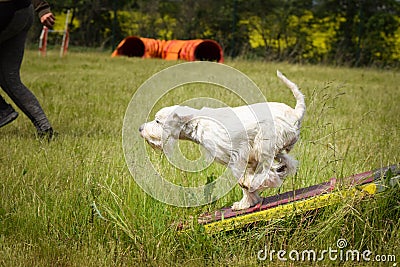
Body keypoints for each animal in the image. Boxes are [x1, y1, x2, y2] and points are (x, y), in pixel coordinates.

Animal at [139, 71, 304, 211]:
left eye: (157, 121)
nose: (140, 129)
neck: (197, 124)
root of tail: (295, 113)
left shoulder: (237, 157)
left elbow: (246, 181)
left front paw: (248, 196)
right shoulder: (245, 160)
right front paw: (246, 203)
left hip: (262, 145)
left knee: (270, 168)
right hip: (273, 149)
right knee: (287, 162)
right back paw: (281, 169)